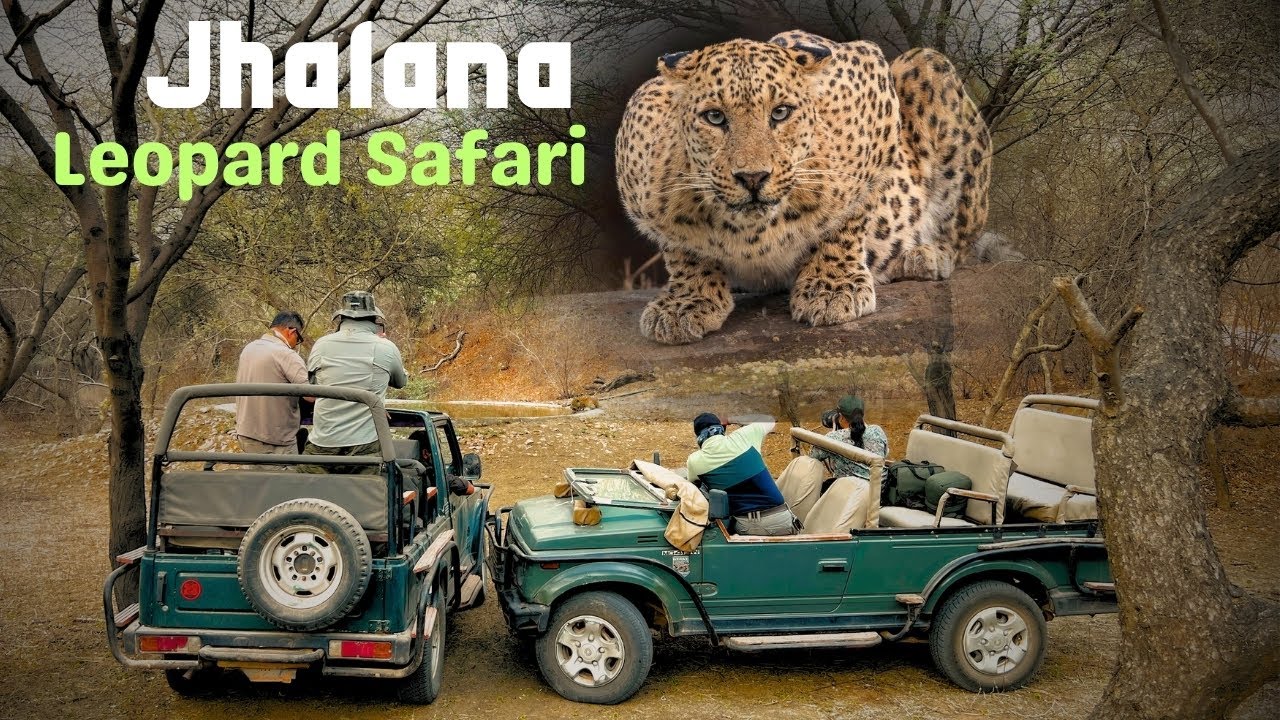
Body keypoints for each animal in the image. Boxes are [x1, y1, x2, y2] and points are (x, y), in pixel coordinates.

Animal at [615, 30, 991, 344]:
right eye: (715, 117)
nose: (753, 177)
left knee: (960, 232)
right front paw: (686, 302)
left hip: (927, 65)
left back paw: (924, 256)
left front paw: (831, 289)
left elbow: (848, 214)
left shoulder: (871, 83)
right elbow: (680, 248)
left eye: (781, 113)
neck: (751, 235)